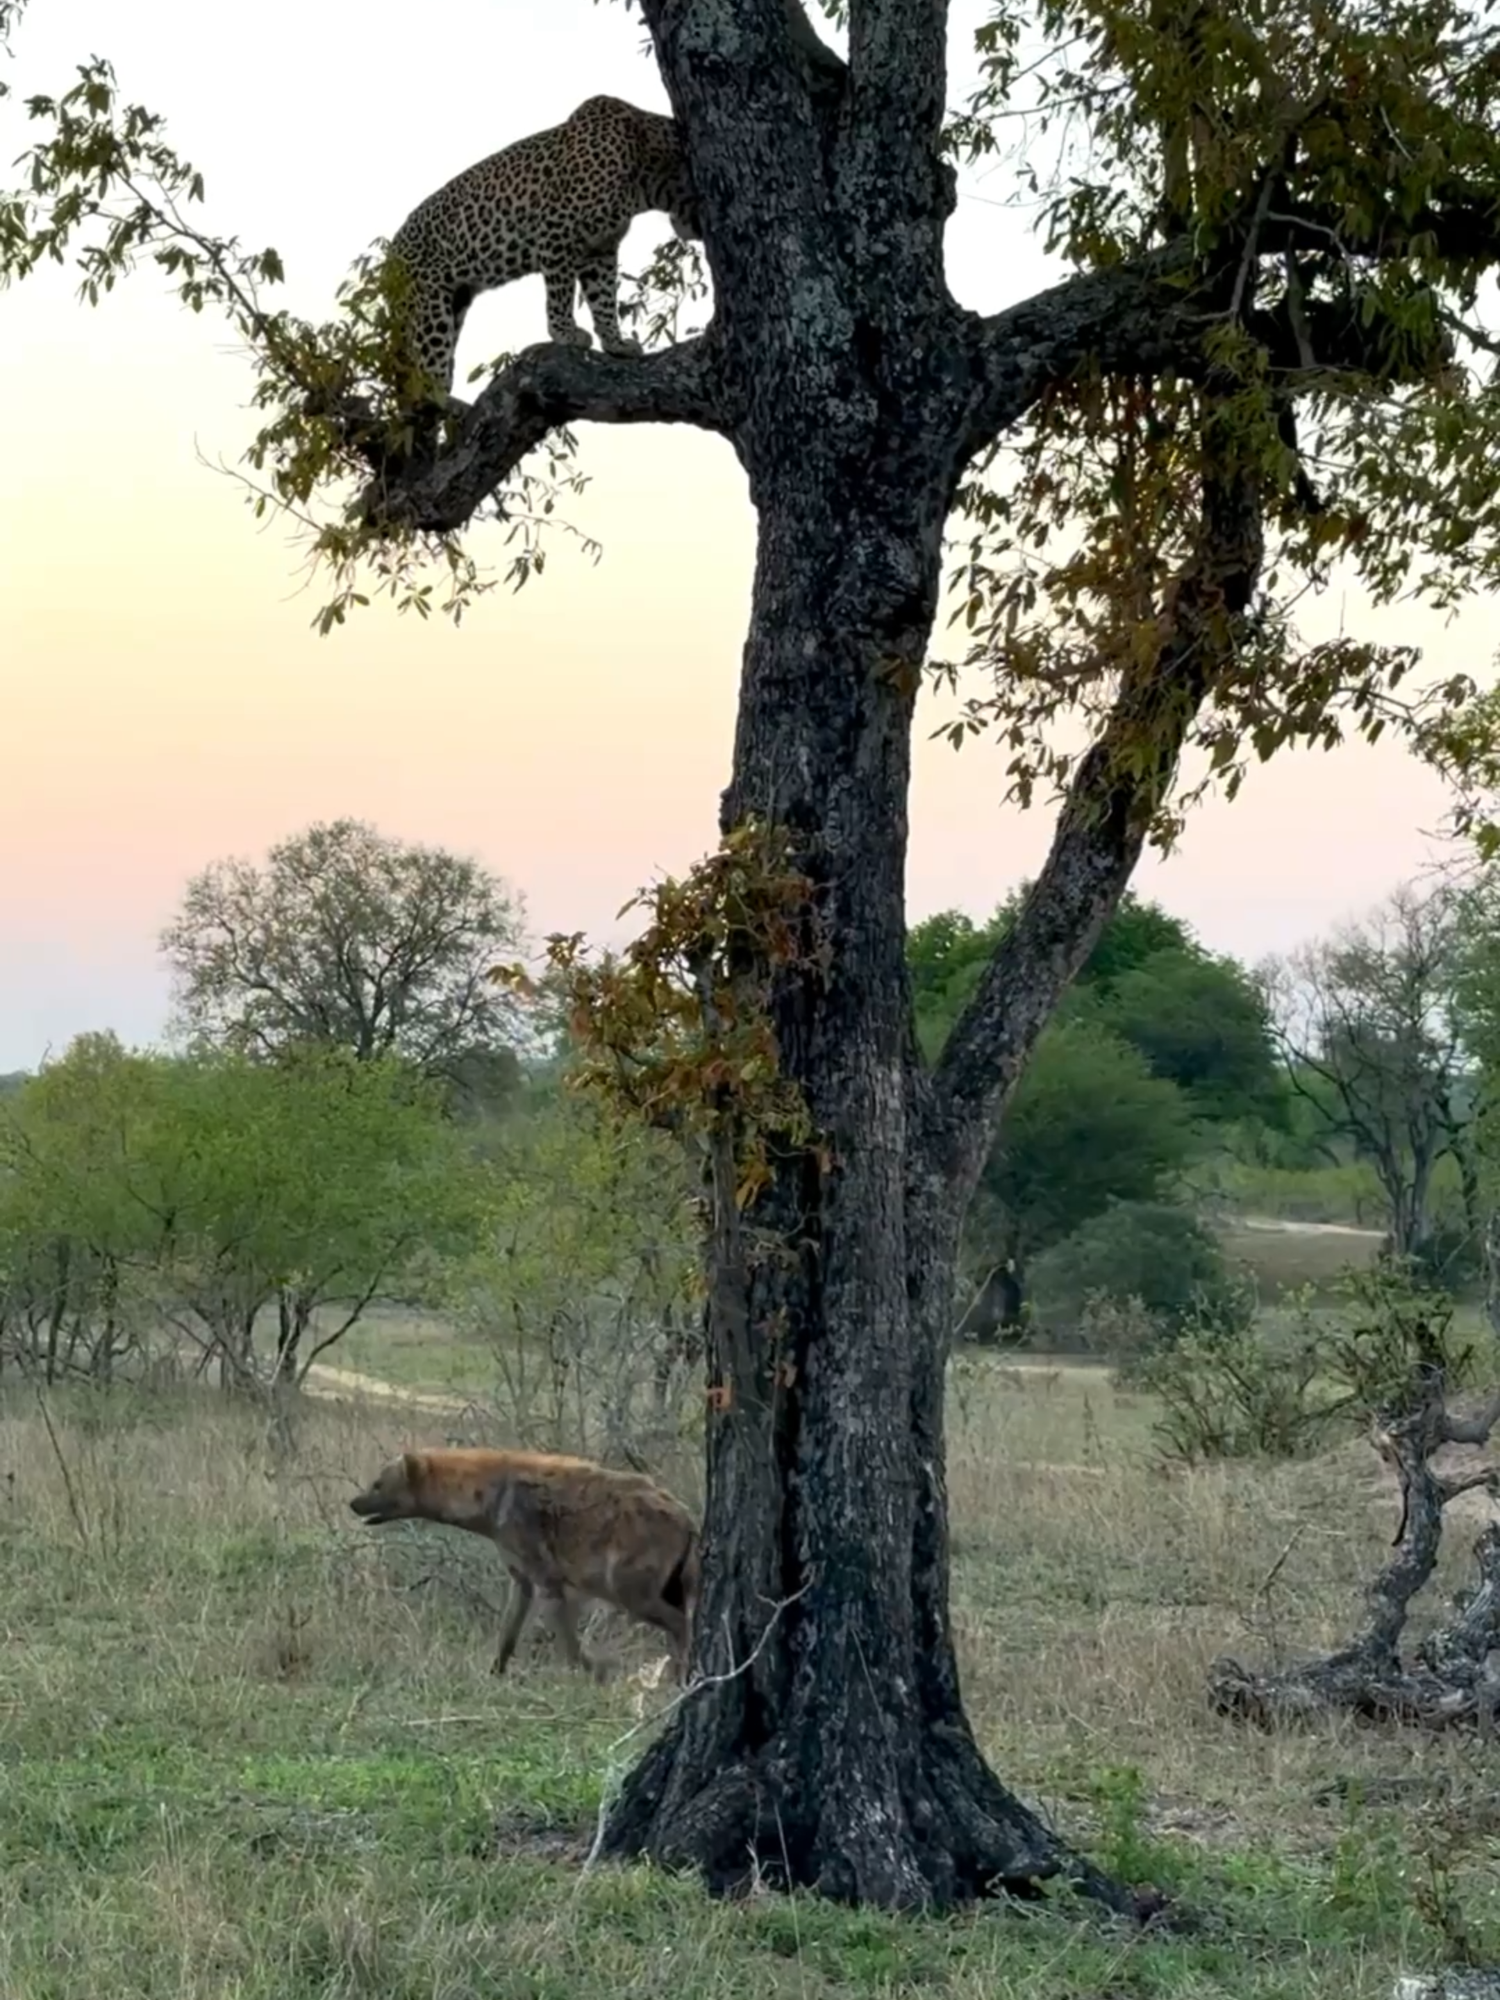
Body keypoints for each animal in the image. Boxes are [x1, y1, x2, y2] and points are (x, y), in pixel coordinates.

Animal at [386, 94, 703, 408]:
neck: (648, 178)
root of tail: (389, 257)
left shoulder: (600, 250)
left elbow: (603, 299)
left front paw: (616, 344)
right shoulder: (556, 231)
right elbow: (561, 293)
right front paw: (565, 333)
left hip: (456, 302)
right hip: (429, 307)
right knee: (426, 369)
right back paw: (442, 398)